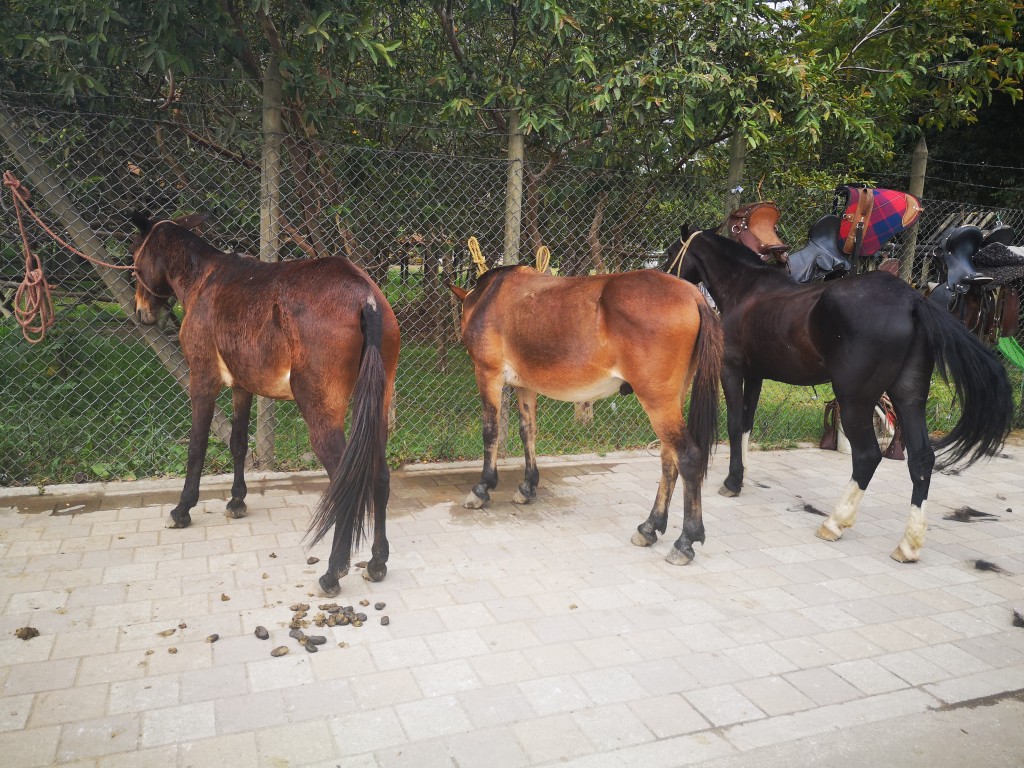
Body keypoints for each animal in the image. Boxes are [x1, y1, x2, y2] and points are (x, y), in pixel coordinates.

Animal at [129, 211, 400, 596]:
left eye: (136, 259)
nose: (142, 313)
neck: (204, 279)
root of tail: (367, 297)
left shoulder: (202, 381)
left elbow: (197, 447)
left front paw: (182, 509)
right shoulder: (243, 388)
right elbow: (238, 443)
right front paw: (236, 500)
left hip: (322, 417)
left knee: (345, 483)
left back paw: (333, 571)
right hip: (376, 411)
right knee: (379, 476)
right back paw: (377, 562)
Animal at [449, 265, 724, 565]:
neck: (489, 297)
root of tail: (694, 295)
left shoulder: (488, 374)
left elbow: (491, 431)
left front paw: (482, 488)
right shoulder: (526, 385)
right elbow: (527, 431)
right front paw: (527, 486)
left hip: (658, 401)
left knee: (687, 456)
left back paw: (685, 541)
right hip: (672, 399)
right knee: (668, 458)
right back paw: (649, 527)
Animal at [664, 226, 1013, 562]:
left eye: (671, 251)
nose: (664, 276)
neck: (748, 290)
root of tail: (914, 302)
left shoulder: (733, 370)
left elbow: (736, 426)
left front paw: (732, 482)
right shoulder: (755, 375)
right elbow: (747, 427)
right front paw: (741, 475)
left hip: (855, 401)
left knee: (868, 456)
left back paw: (834, 523)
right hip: (909, 397)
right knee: (921, 459)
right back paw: (908, 545)